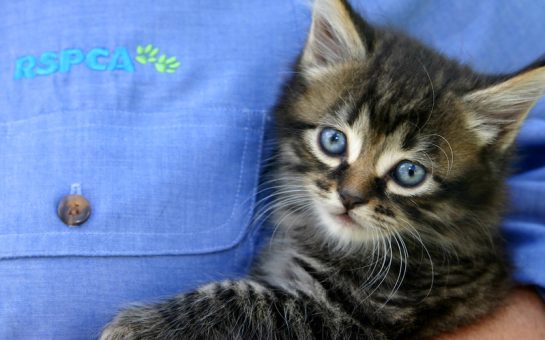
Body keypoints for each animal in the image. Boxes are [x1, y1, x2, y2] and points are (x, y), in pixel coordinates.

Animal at [101, 1, 544, 338]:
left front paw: (139, 326)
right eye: (334, 141)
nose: (349, 197)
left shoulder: (355, 315)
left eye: (409, 174)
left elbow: (246, 301)